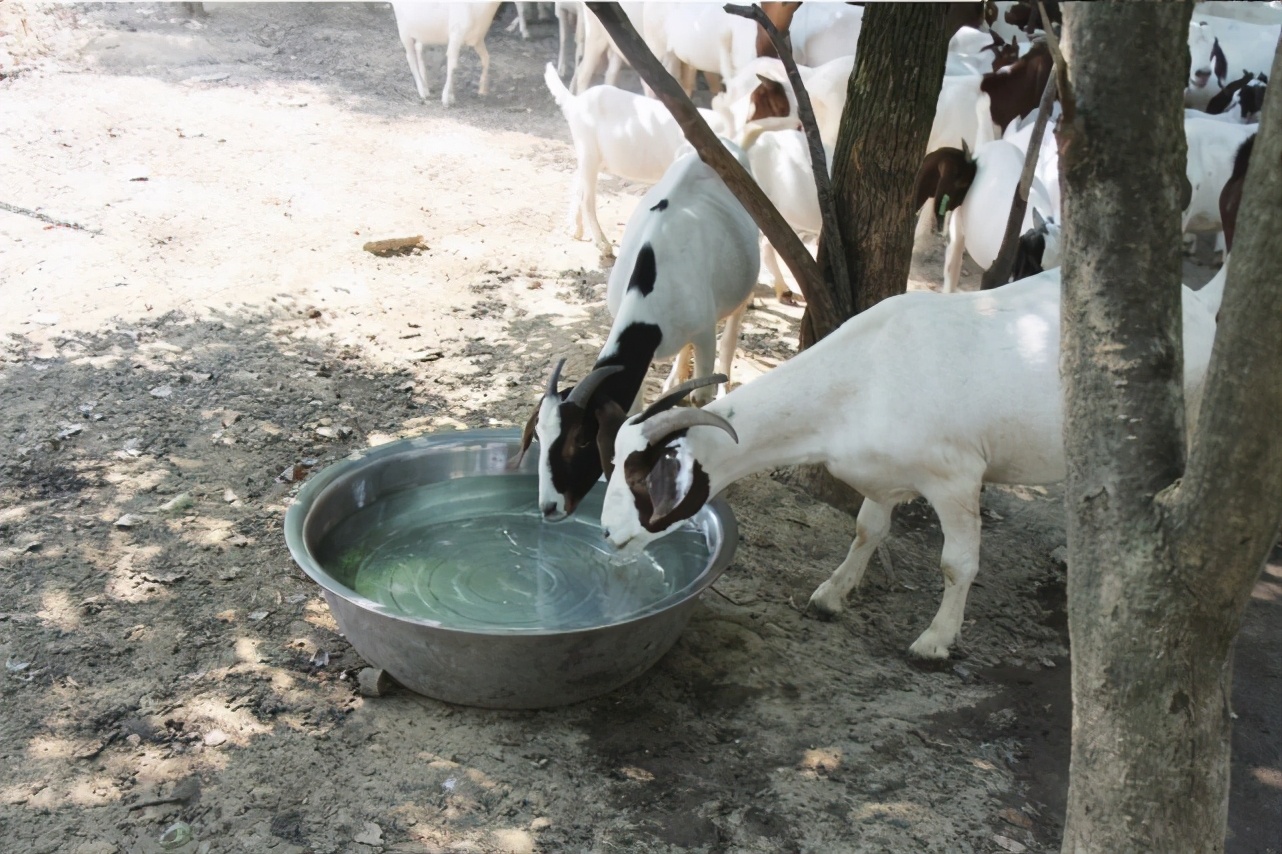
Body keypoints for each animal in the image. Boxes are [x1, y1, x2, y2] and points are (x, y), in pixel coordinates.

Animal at [520, 142, 758, 518]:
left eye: (582, 439)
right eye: (540, 437)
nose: (550, 507)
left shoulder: (704, 332)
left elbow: (700, 398)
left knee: (734, 323)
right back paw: (674, 377)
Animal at [599, 266, 1220, 656]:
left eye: (645, 478)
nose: (606, 534)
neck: (865, 372)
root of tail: (1199, 303)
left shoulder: (955, 477)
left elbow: (957, 564)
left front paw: (936, 640)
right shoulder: (881, 473)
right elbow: (866, 529)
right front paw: (832, 595)